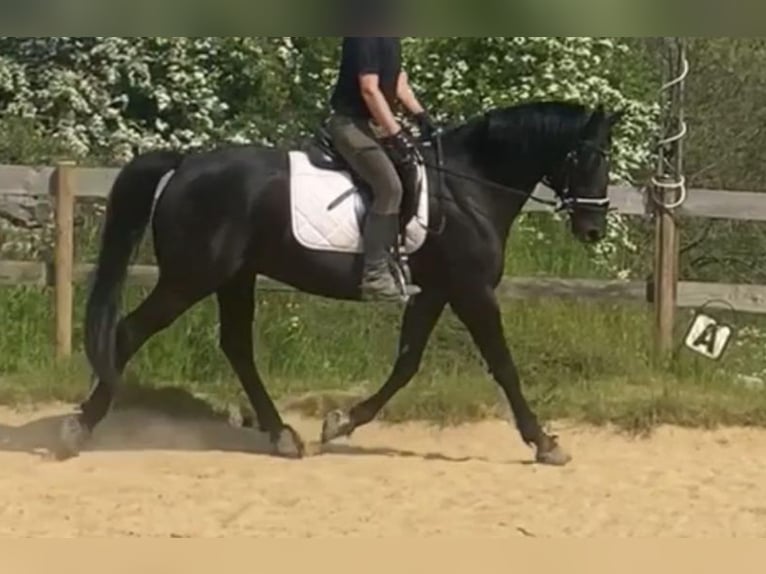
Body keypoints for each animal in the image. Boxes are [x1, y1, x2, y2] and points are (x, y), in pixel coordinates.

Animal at [60, 99, 624, 466]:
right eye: (588, 156)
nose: (593, 228)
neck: (467, 189)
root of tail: (186, 164)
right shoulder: (471, 291)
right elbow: (504, 366)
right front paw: (545, 443)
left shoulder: (436, 292)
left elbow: (406, 364)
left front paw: (342, 422)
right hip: (191, 278)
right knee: (129, 333)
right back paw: (81, 427)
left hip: (235, 277)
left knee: (236, 346)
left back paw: (283, 436)